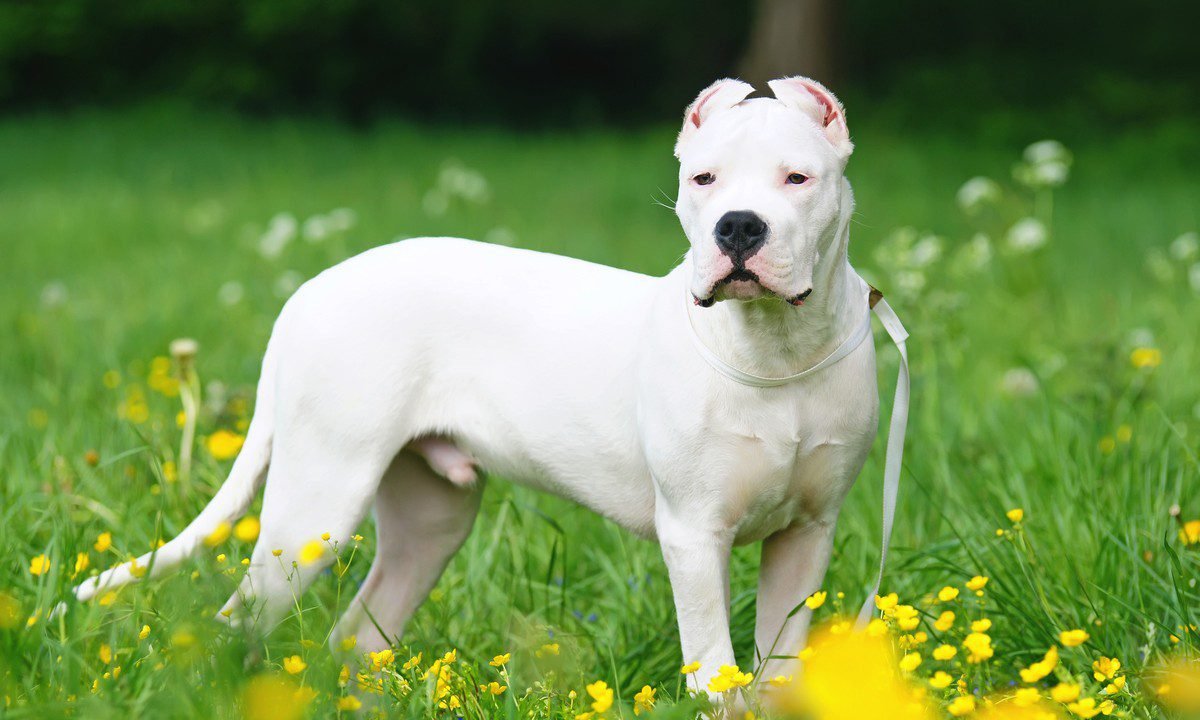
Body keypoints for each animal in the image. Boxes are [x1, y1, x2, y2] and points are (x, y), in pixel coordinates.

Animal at [75, 75, 902, 696]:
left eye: (798, 179)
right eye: (703, 179)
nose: (738, 227)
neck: (776, 352)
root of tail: (311, 289)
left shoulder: (805, 537)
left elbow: (775, 671)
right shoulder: (696, 538)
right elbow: (716, 676)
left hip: (429, 521)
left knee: (355, 636)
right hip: (316, 508)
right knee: (237, 624)